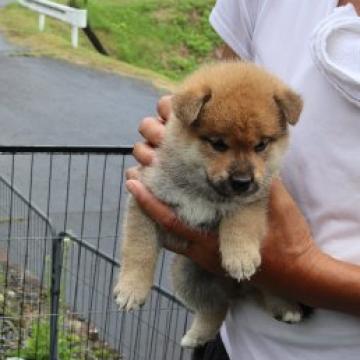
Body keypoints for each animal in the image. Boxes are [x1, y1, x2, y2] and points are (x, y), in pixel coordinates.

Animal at [114, 62, 304, 348]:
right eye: (218, 144)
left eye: (261, 145)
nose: (242, 181)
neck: (204, 192)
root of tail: (239, 291)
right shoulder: (144, 199)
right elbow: (139, 249)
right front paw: (131, 288)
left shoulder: (254, 200)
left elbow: (240, 221)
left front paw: (240, 256)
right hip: (187, 276)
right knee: (217, 308)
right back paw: (197, 335)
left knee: (269, 288)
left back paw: (288, 307)